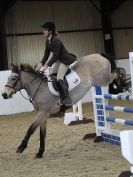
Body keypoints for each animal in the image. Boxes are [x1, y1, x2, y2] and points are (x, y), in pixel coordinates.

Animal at [2, 53, 131, 158]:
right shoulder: (43, 115)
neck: (39, 88)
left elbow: (30, 129)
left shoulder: (42, 112)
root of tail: (99, 55)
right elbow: (42, 134)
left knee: (117, 73)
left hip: (103, 79)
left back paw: (122, 84)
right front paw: (40, 152)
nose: (4, 94)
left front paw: (21, 147)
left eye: (14, 78)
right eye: (8, 78)